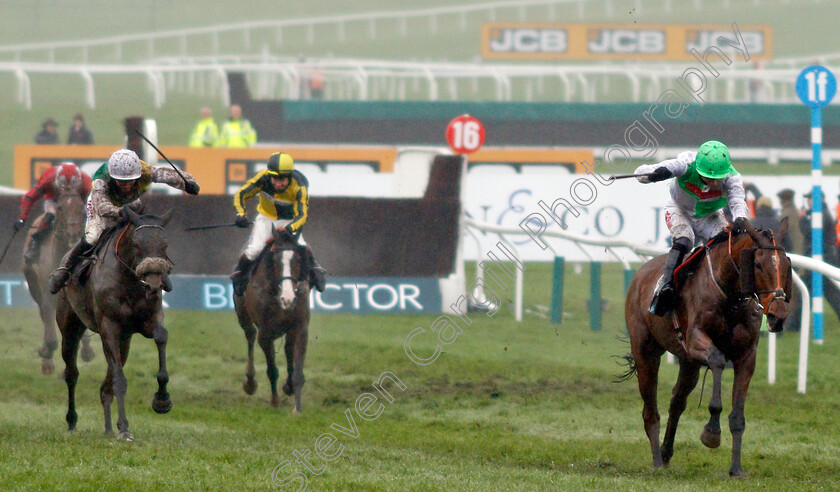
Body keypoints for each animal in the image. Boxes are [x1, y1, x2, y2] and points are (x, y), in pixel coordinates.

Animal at [22, 188, 94, 372]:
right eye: (60, 208)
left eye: (81, 208)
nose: (73, 234)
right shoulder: (46, 289)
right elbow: (48, 314)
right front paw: (47, 355)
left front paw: (87, 350)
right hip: (33, 284)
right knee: (43, 312)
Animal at [55, 208, 176, 442]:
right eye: (137, 243)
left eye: (165, 244)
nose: (154, 285)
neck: (128, 281)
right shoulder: (109, 327)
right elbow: (119, 380)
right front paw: (125, 429)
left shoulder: (149, 319)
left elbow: (162, 336)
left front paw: (162, 400)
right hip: (70, 328)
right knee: (72, 373)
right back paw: (72, 421)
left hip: (125, 341)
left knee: (105, 384)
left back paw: (109, 427)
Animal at [236, 229, 312, 414]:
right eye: (275, 260)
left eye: (298, 259)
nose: (288, 299)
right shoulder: (265, 333)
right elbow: (272, 369)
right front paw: (275, 401)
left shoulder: (300, 327)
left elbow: (297, 370)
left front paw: (296, 406)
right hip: (243, 315)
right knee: (250, 335)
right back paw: (250, 382)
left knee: (288, 348)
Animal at [624, 219, 796, 476]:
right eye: (757, 264)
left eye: (786, 264)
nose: (778, 316)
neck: (731, 296)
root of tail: (640, 274)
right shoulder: (695, 339)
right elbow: (716, 362)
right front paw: (711, 432)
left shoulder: (747, 356)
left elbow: (738, 416)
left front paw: (736, 469)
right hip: (646, 351)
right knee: (650, 410)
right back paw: (657, 461)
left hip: (688, 364)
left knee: (677, 402)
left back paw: (665, 453)